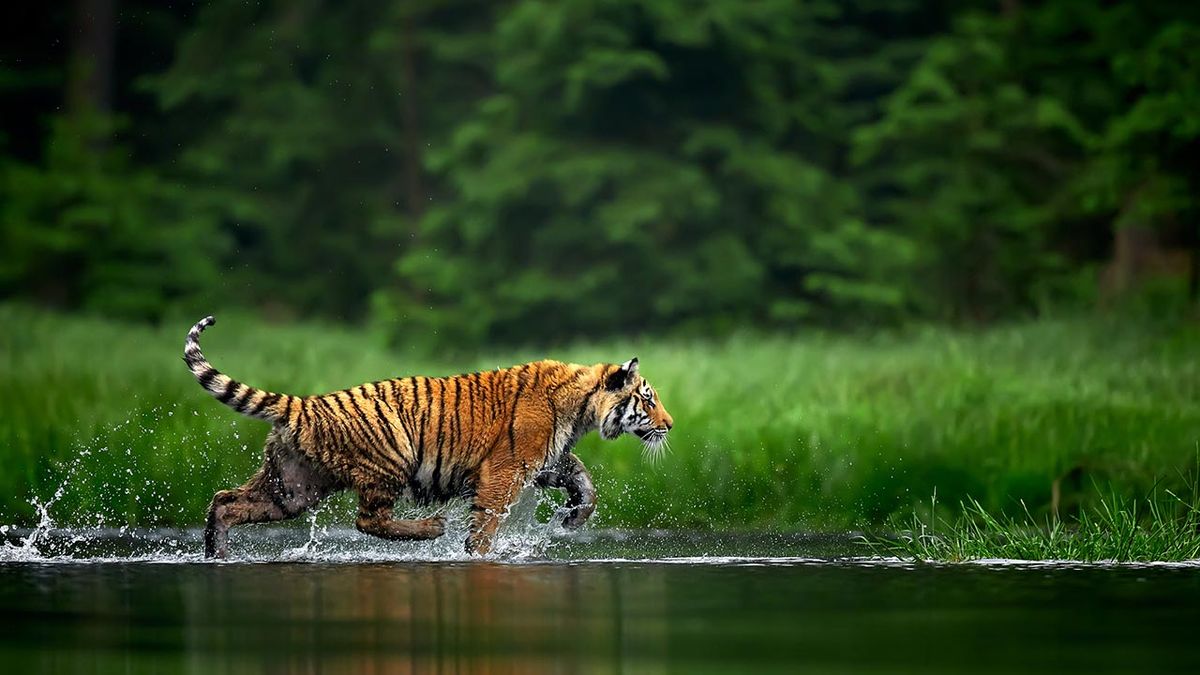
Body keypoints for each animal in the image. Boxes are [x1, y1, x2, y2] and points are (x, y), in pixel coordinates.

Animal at [183, 316, 674, 558]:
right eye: (648, 400)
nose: (670, 425)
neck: (582, 406)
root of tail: (303, 403)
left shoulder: (546, 460)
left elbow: (584, 479)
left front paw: (573, 517)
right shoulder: (506, 469)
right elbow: (487, 523)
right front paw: (477, 554)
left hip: (292, 487)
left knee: (225, 501)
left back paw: (217, 555)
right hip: (389, 458)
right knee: (368, 520)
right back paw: (431, 528)